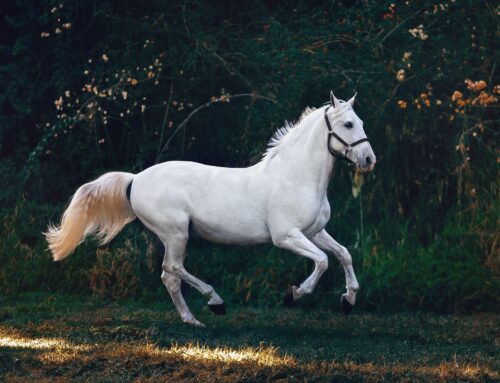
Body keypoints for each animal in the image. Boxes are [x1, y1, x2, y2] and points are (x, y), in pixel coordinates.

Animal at [46, 91, 376, 328]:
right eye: (348, 124)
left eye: (361, 122)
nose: (369, 160)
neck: (296, 176)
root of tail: (135, 179)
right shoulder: (286, 236)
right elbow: (322, 261)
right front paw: (294, 294)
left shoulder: (315, 231)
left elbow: (343, 254)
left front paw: (348, 300)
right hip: (176, 233)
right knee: (173, 269)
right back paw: (215, 302)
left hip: (175, 236)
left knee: (169, 276)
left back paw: (193, 320)